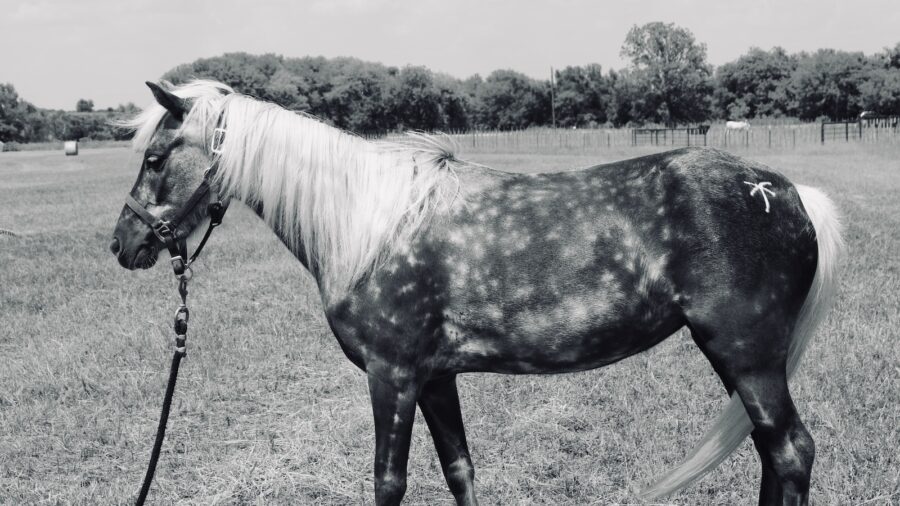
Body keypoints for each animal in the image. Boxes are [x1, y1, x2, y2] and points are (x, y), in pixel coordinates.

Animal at [110, 80, 842, 505]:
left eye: (155, 158)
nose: (124, 244)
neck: (369, 222)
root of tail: (788, 191)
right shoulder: (436, 378)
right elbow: (460, 470)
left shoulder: (392, 376)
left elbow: (389, 482)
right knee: (772, 453)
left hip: (746, 357)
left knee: (790, 452)